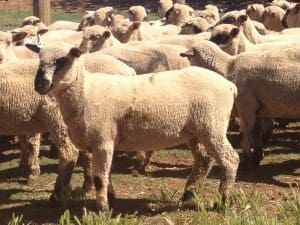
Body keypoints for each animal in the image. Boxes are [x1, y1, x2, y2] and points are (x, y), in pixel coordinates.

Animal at [32, 44, 239, 212]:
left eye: (62, 60)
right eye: (39, 59)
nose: (39, 84)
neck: (84, 92)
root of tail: (229, 85)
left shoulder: (102, 140)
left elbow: (99, 177)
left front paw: (102, 209)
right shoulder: (101, 143)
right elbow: (105, 175)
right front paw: (111, 198)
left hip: (212, 127)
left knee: (230, 159)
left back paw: (222, 201)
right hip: (195, 132)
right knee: (204, 160)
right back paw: (188, 195)